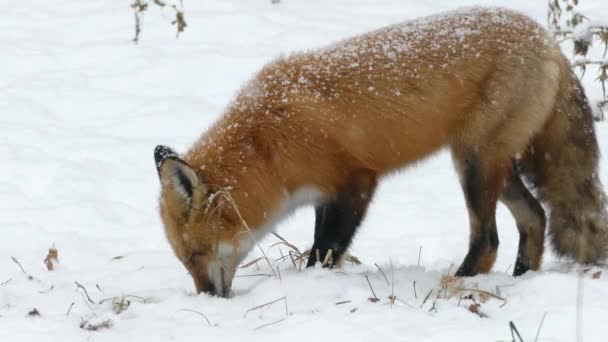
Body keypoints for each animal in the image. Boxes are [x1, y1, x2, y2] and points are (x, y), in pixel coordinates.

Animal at [154, 7, 604, 296]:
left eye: (196, 254)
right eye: (184, 260)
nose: (207, 297)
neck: (267, 144)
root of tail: (547, 38)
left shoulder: (355, 182)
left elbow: (325, 251)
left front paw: (313, 285)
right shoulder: (322, 195)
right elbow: (322, 246)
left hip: (474, 163)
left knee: (488, 240)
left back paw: (457, 284)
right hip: (492, 164)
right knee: (535, 217)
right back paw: (519, 279)